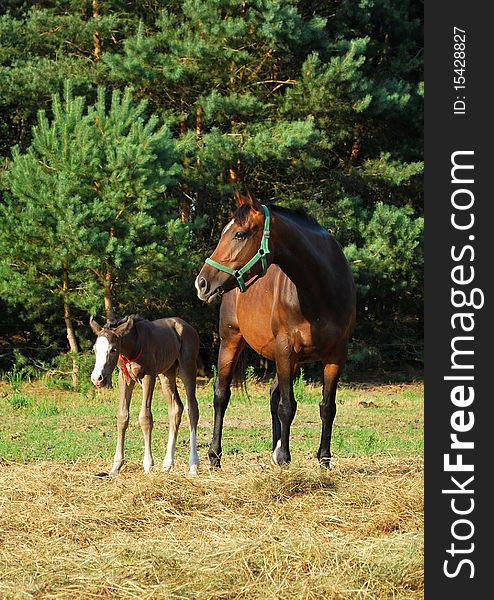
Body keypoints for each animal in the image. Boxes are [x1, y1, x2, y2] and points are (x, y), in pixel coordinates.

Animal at [89, 314, 200, 478]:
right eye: (94, 349)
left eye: (113, 349)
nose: (97, 378)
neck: (134, 345)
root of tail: (189, 327)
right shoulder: (125, 377)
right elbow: (122, 416)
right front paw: (116, 467)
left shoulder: (149, 375)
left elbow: (145, 418)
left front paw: (148, 465)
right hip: (167, 373)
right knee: (176, 409)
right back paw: (167, 464)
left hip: (187, 368)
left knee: (192, 409)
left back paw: (193, 466)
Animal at [194, 192, 356, 468]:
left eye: (240, 234)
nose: (202, 283)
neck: (322, 290)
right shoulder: (285, 349)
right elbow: (287, 406)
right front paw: (284, 457)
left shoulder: (336, 356)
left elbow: (327, 407)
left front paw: (323, 459)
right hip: (231, 340)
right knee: (221, 395)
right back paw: (215, 455)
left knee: (272, 395)